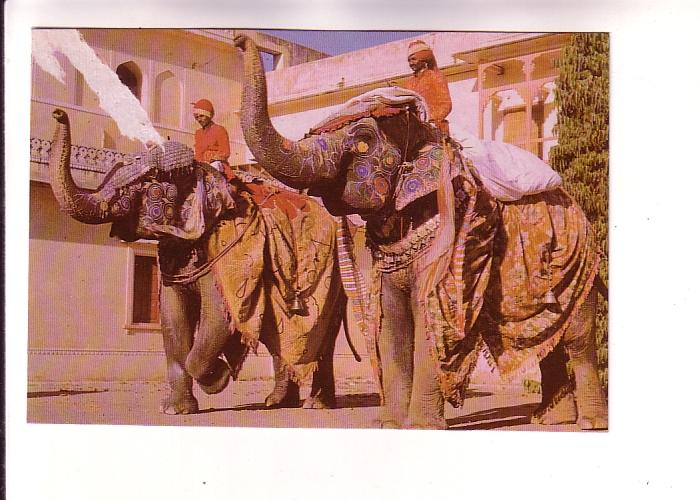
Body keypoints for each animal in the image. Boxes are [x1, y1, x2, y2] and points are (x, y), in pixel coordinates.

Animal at [234, 35, 608, 430]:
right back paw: (550, 420)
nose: (242, 40)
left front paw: (420, 427)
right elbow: (392, 320)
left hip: (576, 259)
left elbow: (427, 311)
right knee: (544, 336)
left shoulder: (451, 233)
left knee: (577, 339)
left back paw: (588, 423)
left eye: (363, 141)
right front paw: (390, 426)